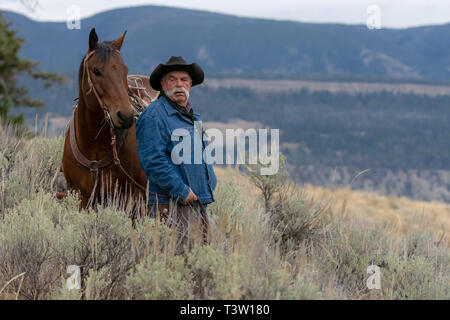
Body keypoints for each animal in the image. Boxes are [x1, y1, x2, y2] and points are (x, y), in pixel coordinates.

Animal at [59, 28, 158, 216]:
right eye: (96, 71)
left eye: (124, 70)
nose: (126, 116)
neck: (93, 146)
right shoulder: (82, 198)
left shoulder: (132, 197)